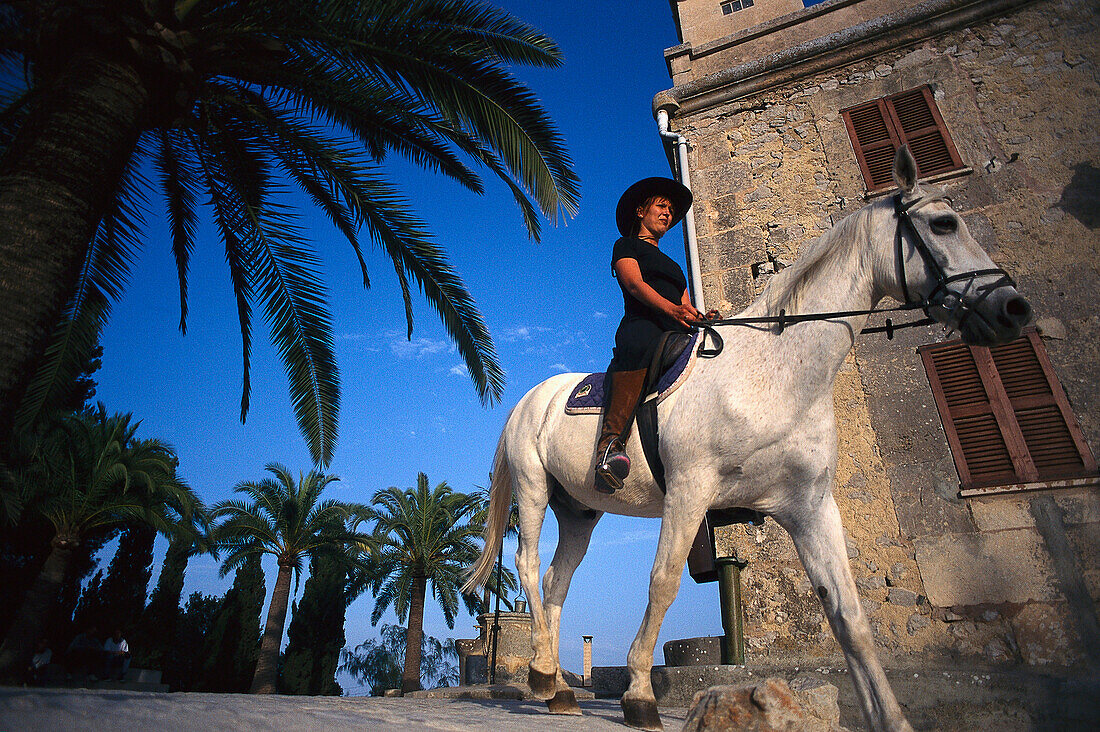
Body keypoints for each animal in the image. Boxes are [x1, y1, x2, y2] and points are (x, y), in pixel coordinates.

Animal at [464, 148, 1029, 730]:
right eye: (944, 224)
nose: (1013, 307)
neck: (774, 372)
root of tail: (532, 398)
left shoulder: (809, 506)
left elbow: (849, 615)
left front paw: (890, 717)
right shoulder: (690, 491)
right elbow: (664, 581)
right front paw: (640, 692)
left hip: (580, 511)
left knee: (557, 580)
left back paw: (557, 686)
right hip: (534, 488)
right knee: (530, 567)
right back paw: (540, 674)